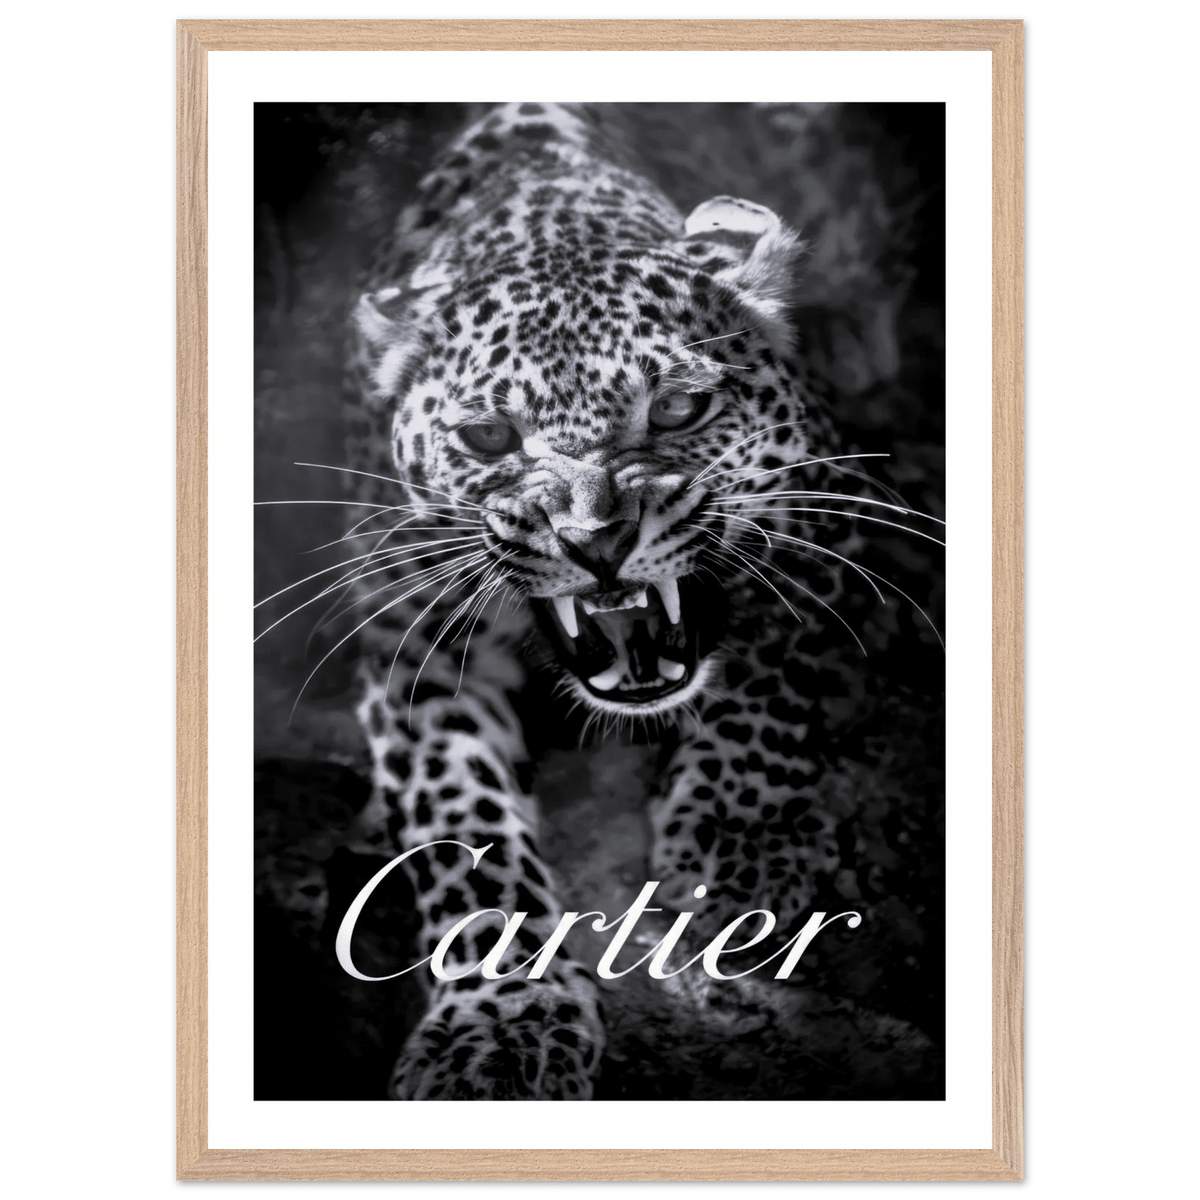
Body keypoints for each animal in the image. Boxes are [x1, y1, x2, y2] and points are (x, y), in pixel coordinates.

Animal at [258, 102, 944, 1101]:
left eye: (680, 410)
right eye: (487, 436)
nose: (595, 541)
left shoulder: (823, 506)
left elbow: (769, 680)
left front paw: (735, 854)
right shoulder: (410, 636)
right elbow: (460, 825)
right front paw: (500, 1022)